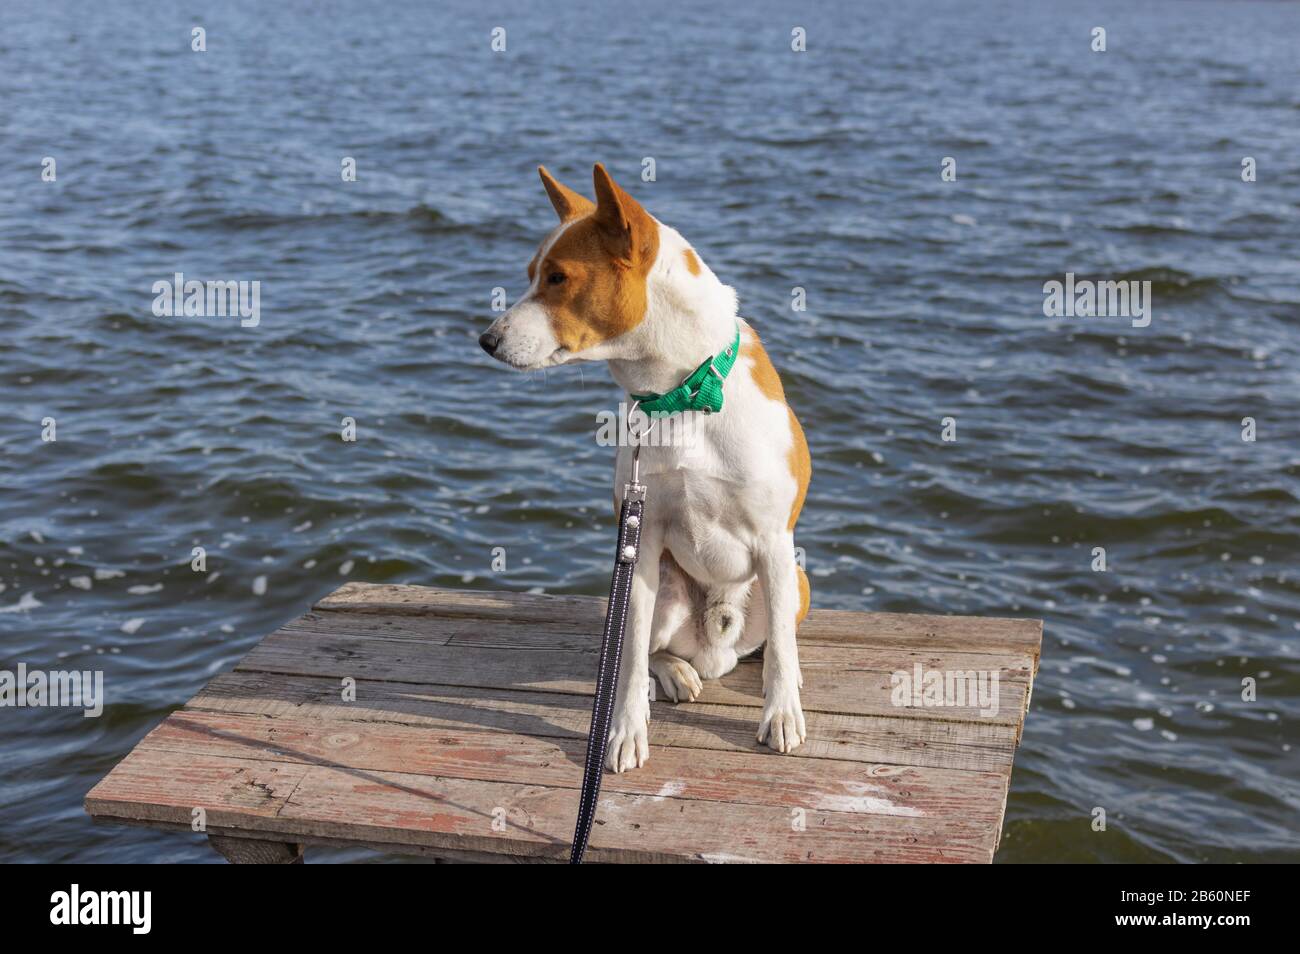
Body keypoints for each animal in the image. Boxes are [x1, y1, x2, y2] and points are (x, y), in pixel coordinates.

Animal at [483, 162, 806, 779]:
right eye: (533, 275)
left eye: (557, 278)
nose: (485, 340)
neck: (683, 396)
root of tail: (711, 650)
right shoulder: (641, 541)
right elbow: (628, 661)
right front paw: (626, 732)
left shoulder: (775, 543)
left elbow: (780, 649)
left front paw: (781, 713)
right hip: (651, 589)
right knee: (651, 649)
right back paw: (676, 674)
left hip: (794, 581)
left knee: (773, 639)